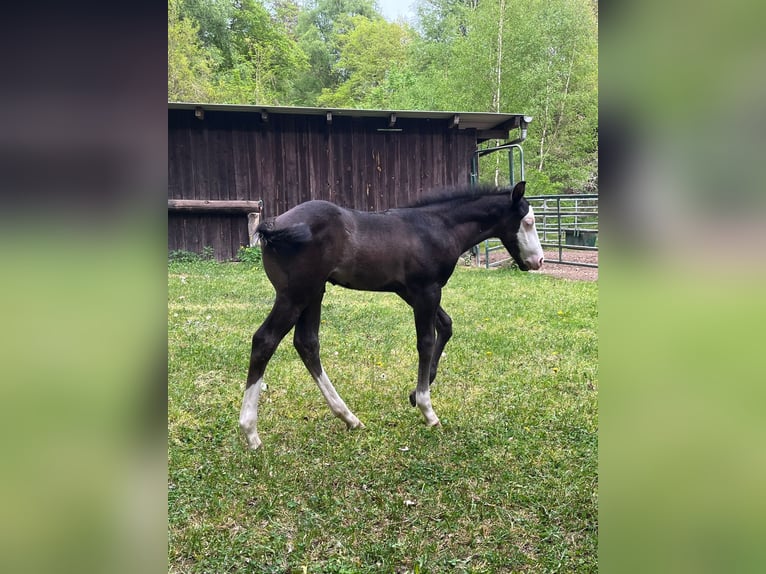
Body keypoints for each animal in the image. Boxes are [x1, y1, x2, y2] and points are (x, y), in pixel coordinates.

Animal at [240, 181, 544, 449]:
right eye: (528, 221)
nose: (538, 261)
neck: (435, 227)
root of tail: (275, 225)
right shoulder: (427, 291)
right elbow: (426, 342)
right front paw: (427, 410)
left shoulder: (410, 291)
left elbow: (446, 326)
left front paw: (414, 395)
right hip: (295, 295)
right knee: (265, 340)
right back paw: (251, 432)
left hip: (314, 292)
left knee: (307, 343)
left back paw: (349, 418)